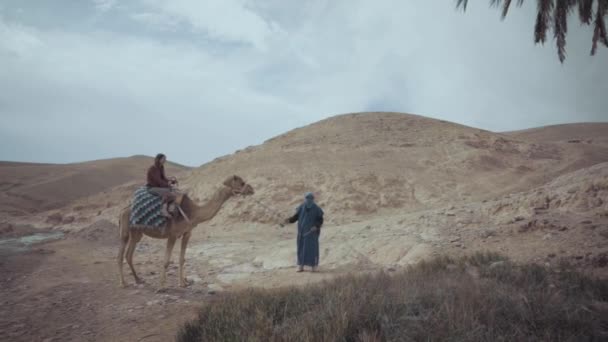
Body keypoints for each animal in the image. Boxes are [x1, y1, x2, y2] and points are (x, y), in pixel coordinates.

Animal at [117, 176, 253, 288]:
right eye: (241, 183)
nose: (251, 189)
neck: (194, 213)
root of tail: (123, 210)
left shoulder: (187, 234)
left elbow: (182, 259)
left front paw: (183, 283)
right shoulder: (172, 235)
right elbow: (166, 261)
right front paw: (161, 287)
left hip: (137, 233)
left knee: (129, 254)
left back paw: (138, 279)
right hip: (125, 231)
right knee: (120, 255)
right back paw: (123, 283)